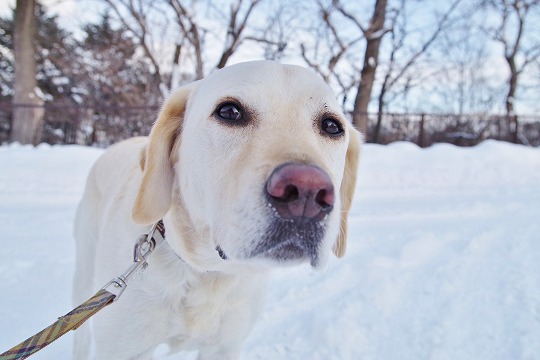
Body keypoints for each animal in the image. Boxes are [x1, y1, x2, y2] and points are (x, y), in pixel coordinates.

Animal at [70, 60, 358, 358]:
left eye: (332, 126)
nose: (307, 192)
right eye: (229, 112)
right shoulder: (123, 348)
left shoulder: (226, 346)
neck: (206, 273)